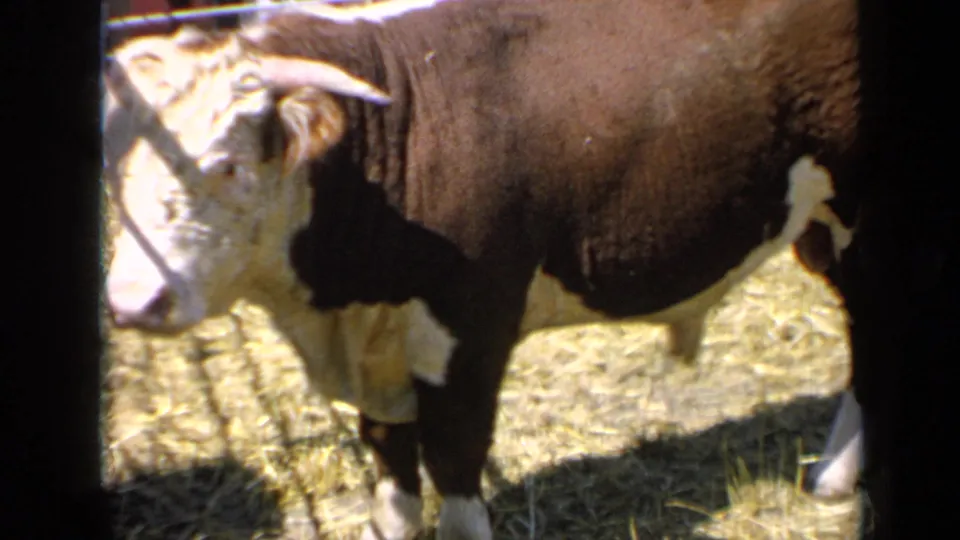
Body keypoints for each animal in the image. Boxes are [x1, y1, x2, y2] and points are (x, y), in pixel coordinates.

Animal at [101, 0, 866, 537]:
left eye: (226, 166)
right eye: (114, 172)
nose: (134, 303)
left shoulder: (469, 333)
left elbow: (455, 467)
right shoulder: (381, 351)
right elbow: (391, 476)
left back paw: (834, 477)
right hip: (817, 225)